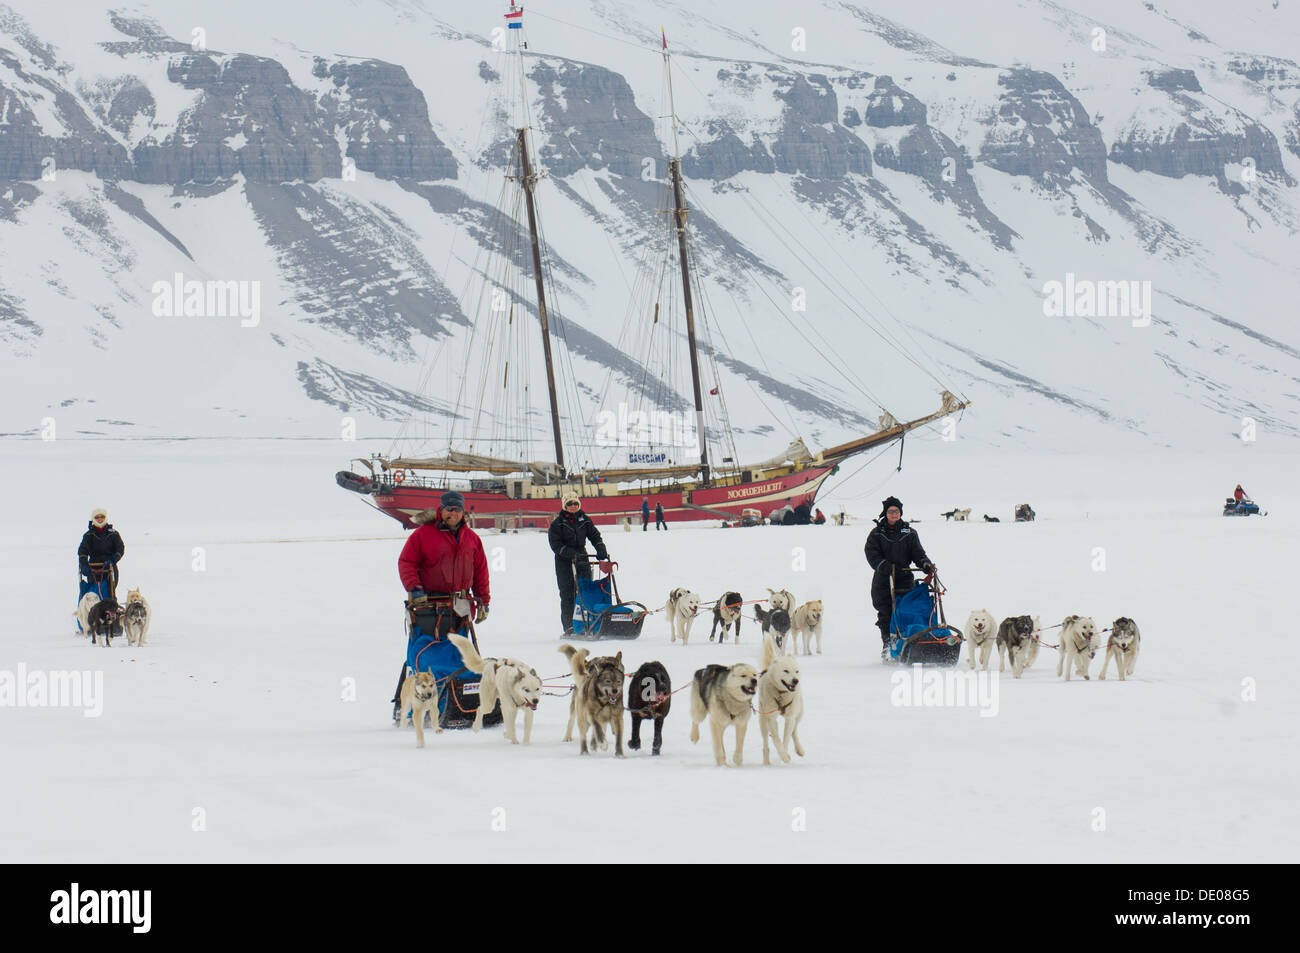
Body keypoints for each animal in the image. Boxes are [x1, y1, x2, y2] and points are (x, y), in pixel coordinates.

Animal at [754, 631, 800, 764]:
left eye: (797, 671)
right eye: (786, 671)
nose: (795, 681)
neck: (782, 694)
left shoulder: (790, 717)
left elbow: (786, 738)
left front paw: (785, 755)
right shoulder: (771, 718)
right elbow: (776, 739)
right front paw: (784, 756)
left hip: (799, 713)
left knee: (794, 730)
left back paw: (799, 750)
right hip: (763, 721)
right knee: (766, 743)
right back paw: (766, 762)